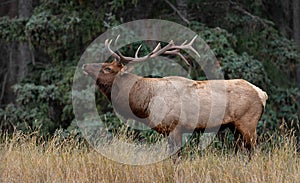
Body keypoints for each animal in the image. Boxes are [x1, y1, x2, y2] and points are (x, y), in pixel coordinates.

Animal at [81, 35, 268, 152]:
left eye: (107, 68)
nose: (85, 65)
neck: (145, 104)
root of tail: (262, 94)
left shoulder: (175, 127)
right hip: (234, 127)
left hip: (248, 123)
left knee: (255, 151)